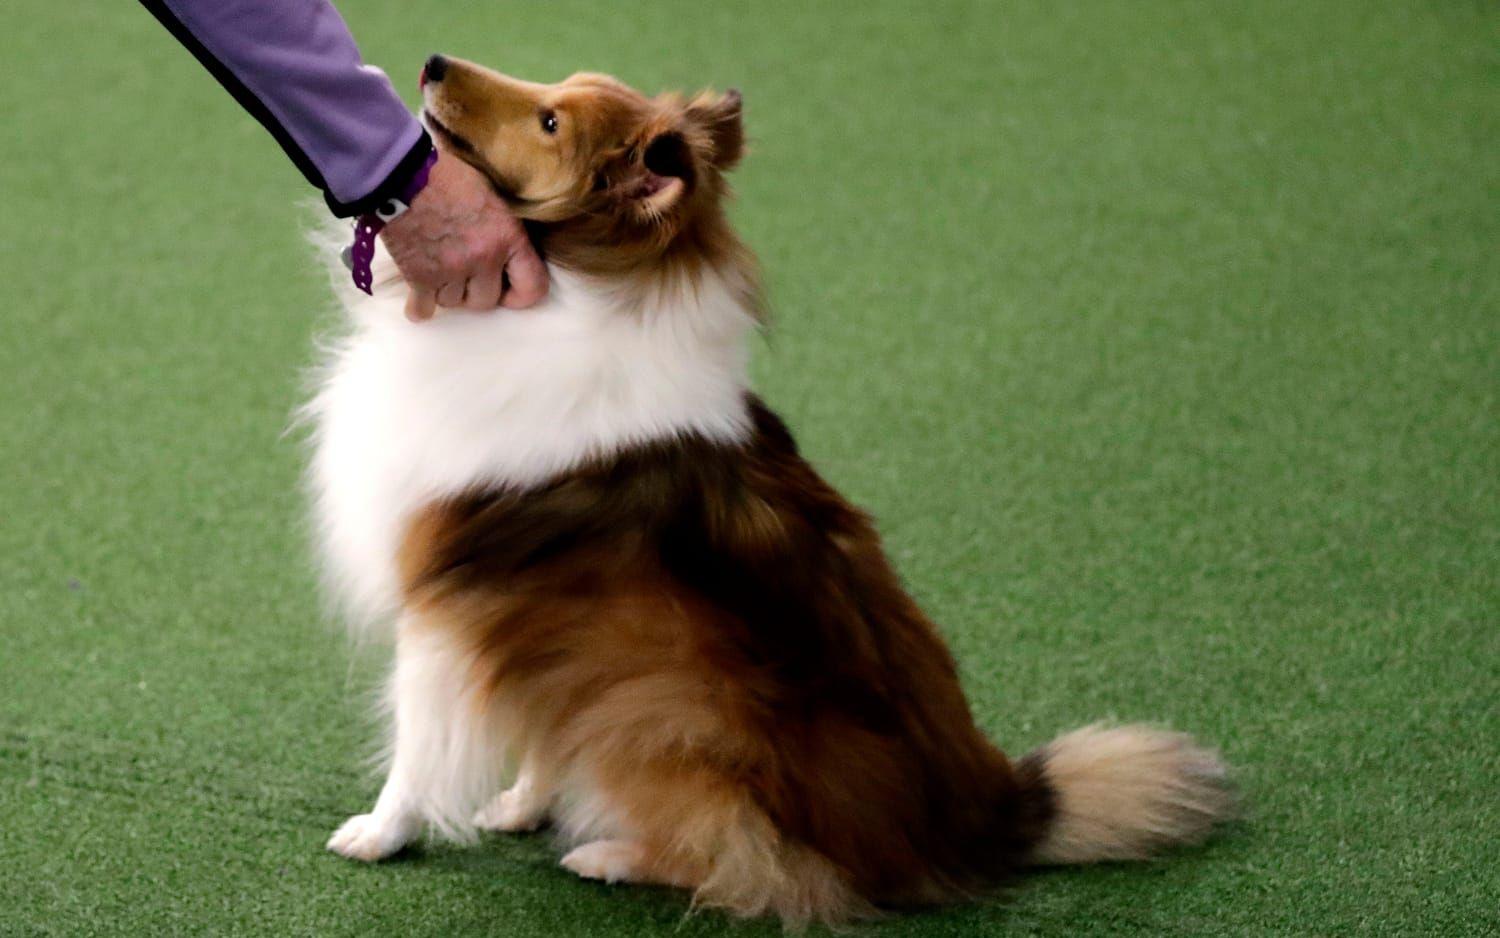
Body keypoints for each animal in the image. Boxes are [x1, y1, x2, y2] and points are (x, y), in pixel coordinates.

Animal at [304, 54, 1230, 924]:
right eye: (556, 92)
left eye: (550, 121)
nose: (431, 63)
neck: (575, 284)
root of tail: (990, 820)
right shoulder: (538, 630)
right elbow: (540, 724)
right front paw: (520, 804)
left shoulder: (441, 608)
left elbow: (415, 749)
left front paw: (378, 836)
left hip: (668, 710)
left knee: (753, 862)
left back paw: (609, 854)